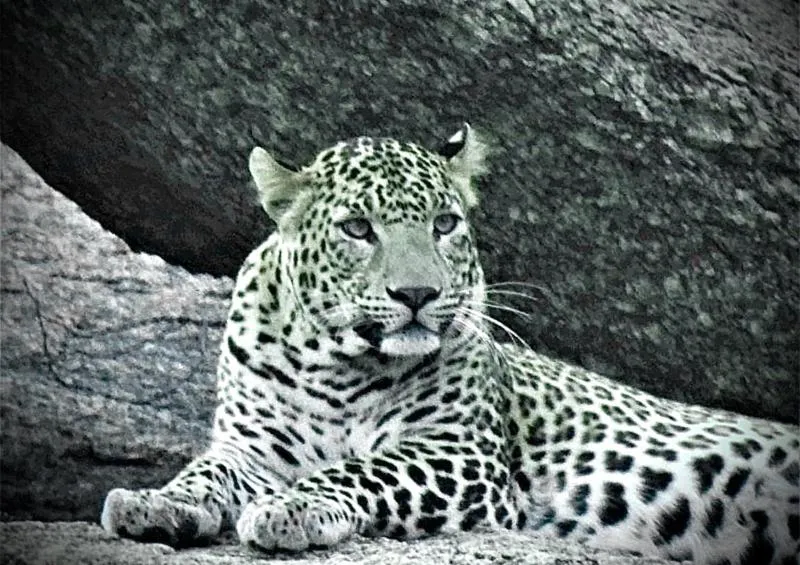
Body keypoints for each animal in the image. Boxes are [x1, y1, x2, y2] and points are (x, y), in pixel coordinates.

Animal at [101, 124, 799, 565]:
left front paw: (293, 506)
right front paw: (154, 502)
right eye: (358, 228)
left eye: (445, 223)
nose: (418, 293)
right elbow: (205, 472)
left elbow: (364, 469)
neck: (335, 365)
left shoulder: (464, 454)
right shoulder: (249, 448)